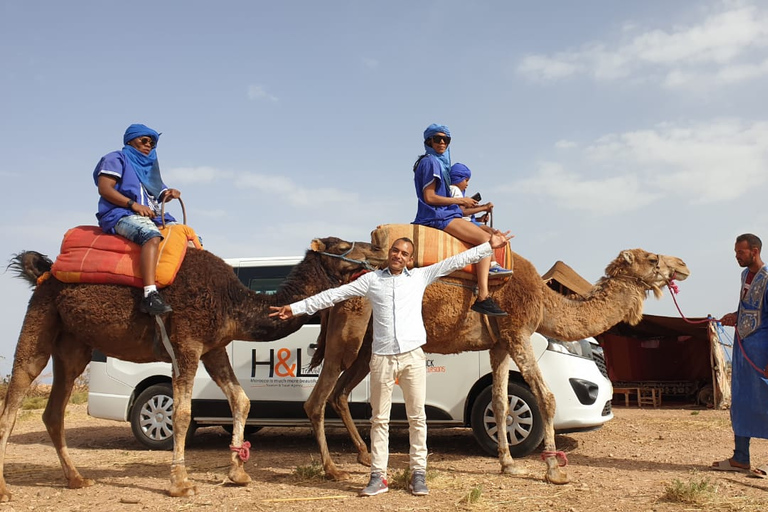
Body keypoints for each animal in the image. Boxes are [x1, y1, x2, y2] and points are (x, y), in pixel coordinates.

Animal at [0, 238, 384, 502]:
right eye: (344, 245)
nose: (378, 249)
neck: (233, 301)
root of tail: (44, 272)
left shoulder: (213, 348)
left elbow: (241, 400)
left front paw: (238, 473)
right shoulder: (187, 342)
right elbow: (182, 413)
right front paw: (181, 483)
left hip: (73, 346)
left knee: (53, 411)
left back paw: (76, 478)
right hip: (40, 319)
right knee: (15, 396)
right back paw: (6, 488)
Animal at [300, 244, 688, 484]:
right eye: (653, 259)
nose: (682, 265)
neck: (545, 299)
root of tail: (339, 291)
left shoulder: (500, 344)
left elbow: (501, 404)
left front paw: (509, 464)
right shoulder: (518, 332)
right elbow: (546, 398)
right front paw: (553, 470)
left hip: (366, 346)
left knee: (340, 394)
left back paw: (365, 456)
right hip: (347, 337)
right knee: (316, 400)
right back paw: (332, 470)